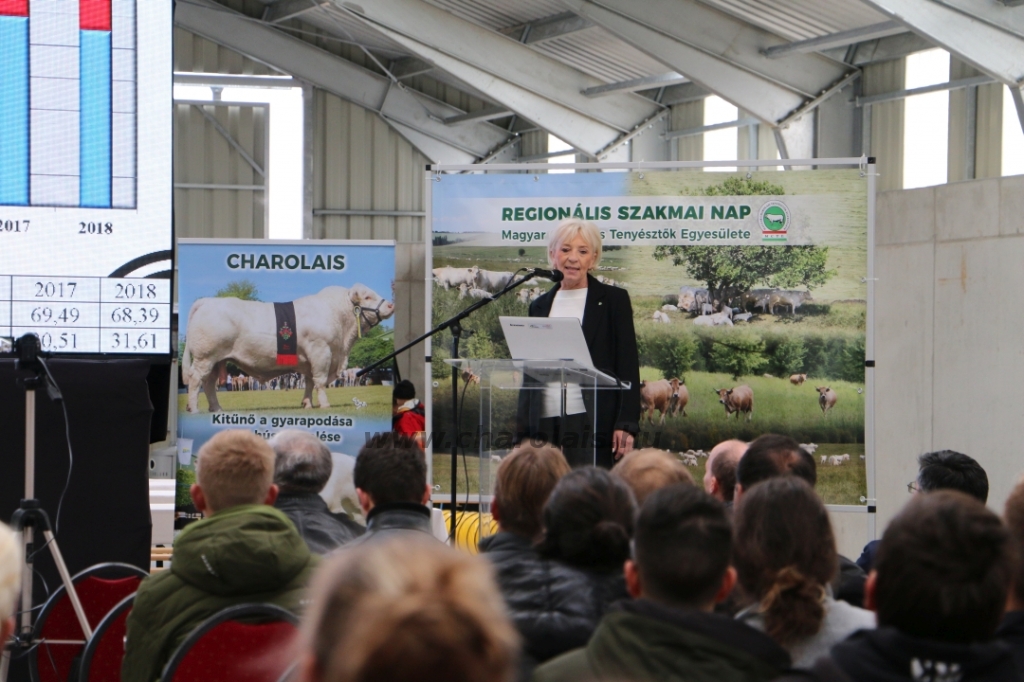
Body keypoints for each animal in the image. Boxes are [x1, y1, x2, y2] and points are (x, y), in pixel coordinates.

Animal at [182, 284, 393, 411]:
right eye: (367, 297)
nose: (391, 305)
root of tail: (208, 301)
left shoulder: (309, 360)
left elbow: (309, 382)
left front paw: (307, 404)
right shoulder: (321, 351)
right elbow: (320, 381)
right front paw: (325, 404)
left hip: (216, 360)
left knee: (209, 384)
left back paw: (216, 408)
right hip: (205, 357)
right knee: (196, 380)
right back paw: (194, 408)